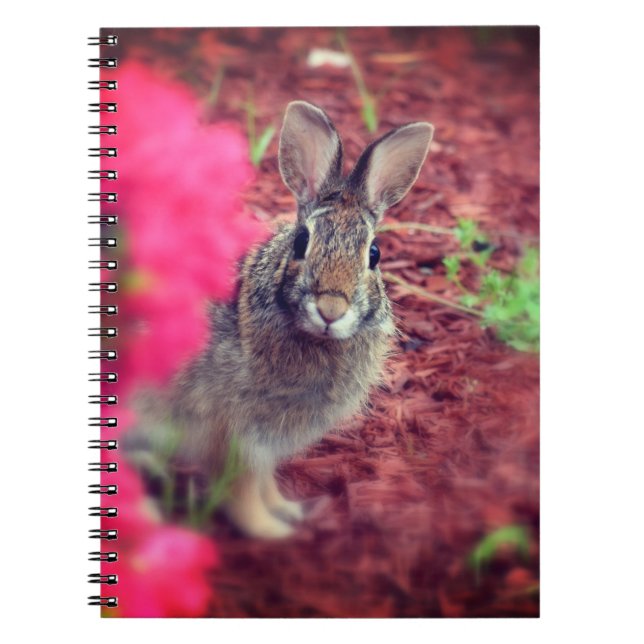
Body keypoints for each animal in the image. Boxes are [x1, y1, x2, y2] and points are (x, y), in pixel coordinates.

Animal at [171, 101, 434, 538]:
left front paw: (289, 510)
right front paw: (274, 532)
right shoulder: (235, 433)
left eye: (375, 253)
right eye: (301, 241)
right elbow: (243, 490)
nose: (331, 309)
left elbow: (263, 484)